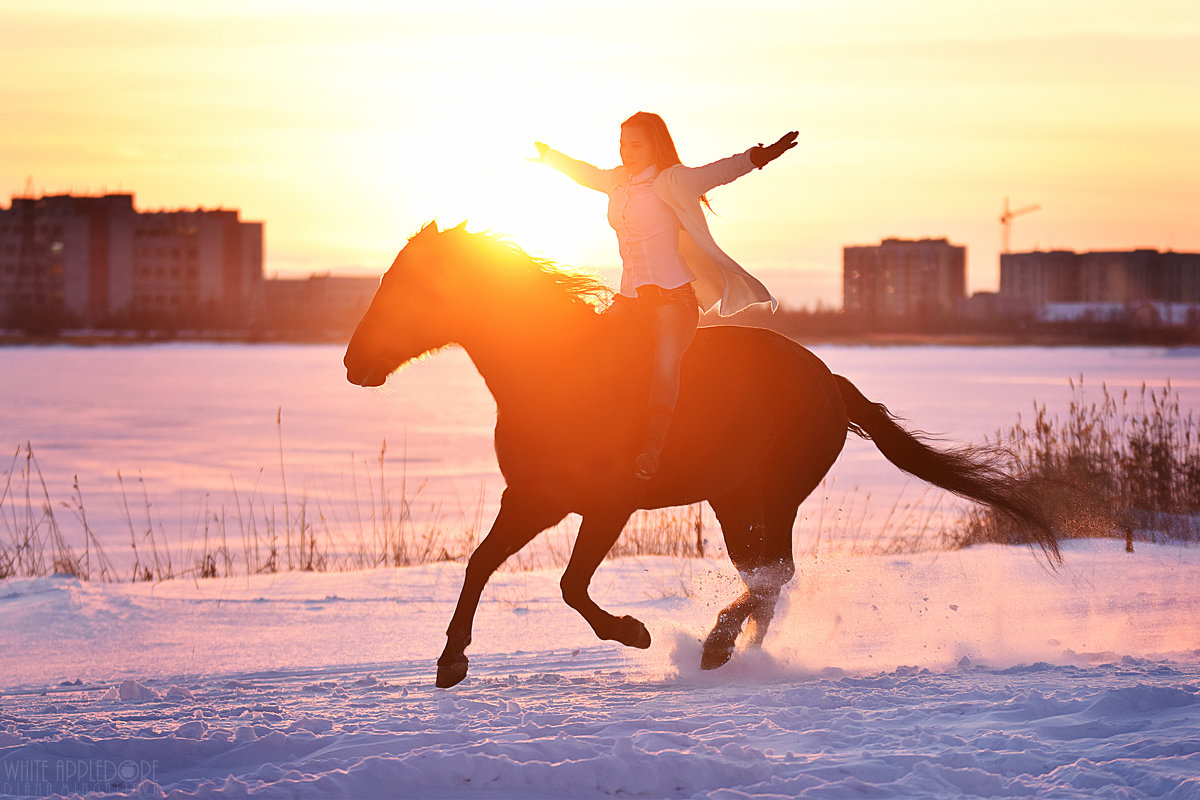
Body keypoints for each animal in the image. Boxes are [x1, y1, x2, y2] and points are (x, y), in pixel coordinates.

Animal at [343, 225, 1056, 690]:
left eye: (408, 284)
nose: (354, 363)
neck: (558, 374)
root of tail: (830, 382)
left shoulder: (608, 504)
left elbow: (571, 585)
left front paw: (634, 633)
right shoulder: (534, 498)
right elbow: (480, 563)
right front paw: (450, 662)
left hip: (764, 495)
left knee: (772, 575)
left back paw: (717, 648)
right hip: (739, 499)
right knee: (769, 579)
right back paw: (739, 652)